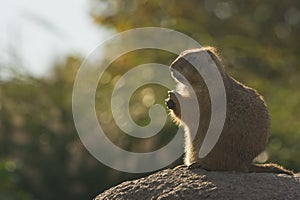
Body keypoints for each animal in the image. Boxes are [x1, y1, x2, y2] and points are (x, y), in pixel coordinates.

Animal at [164, 47, 292, 175]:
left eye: (193, 58)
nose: (171, 66)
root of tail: (247, 165)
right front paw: (169, 100)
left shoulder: (208, 96)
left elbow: (193, 109)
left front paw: (173, 95)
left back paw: (200, 164)